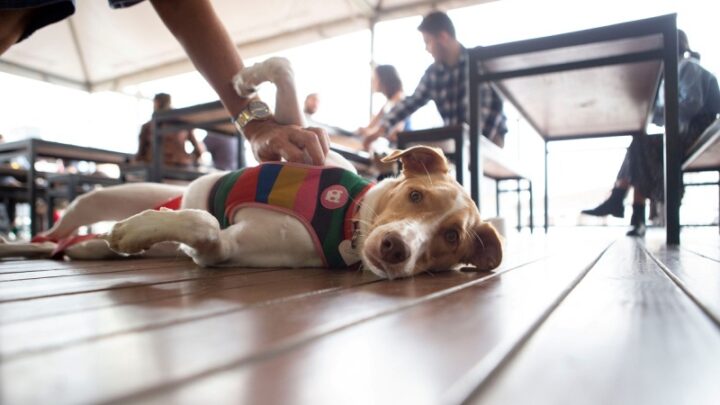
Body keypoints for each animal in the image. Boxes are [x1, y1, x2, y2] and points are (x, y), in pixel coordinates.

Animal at [0, 57, 500, 278]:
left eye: (450, 238)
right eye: (415, 195)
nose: (398, 248)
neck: (344, 213)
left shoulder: (220, 249)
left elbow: (203, 224)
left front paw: (135, 231)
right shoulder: (307, 144)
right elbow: (288, 81)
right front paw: (248, 78)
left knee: (61, 244)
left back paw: (95, 244)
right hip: (97, 198)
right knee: (54, 233)